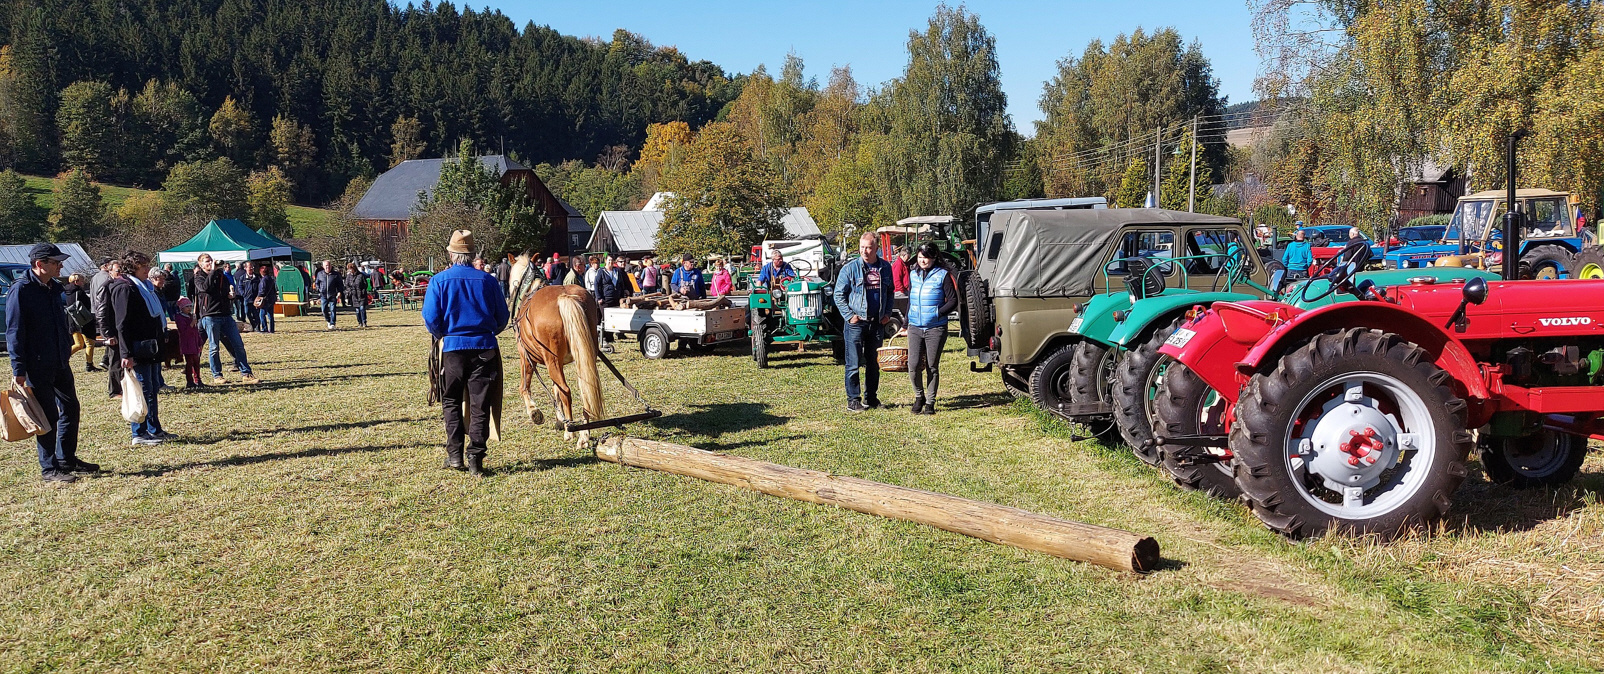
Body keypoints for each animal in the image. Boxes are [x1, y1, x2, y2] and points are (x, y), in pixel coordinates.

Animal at [516, 282, 603, 446]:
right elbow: (555, 390)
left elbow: (524, 387)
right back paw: (583, 435)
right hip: (583, 358)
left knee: (566, 391)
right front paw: (559, 421)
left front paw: (534, 412)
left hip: (552, 361)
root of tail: (565, 296)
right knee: (585, 390)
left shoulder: (526, 357)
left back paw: (570, 431)